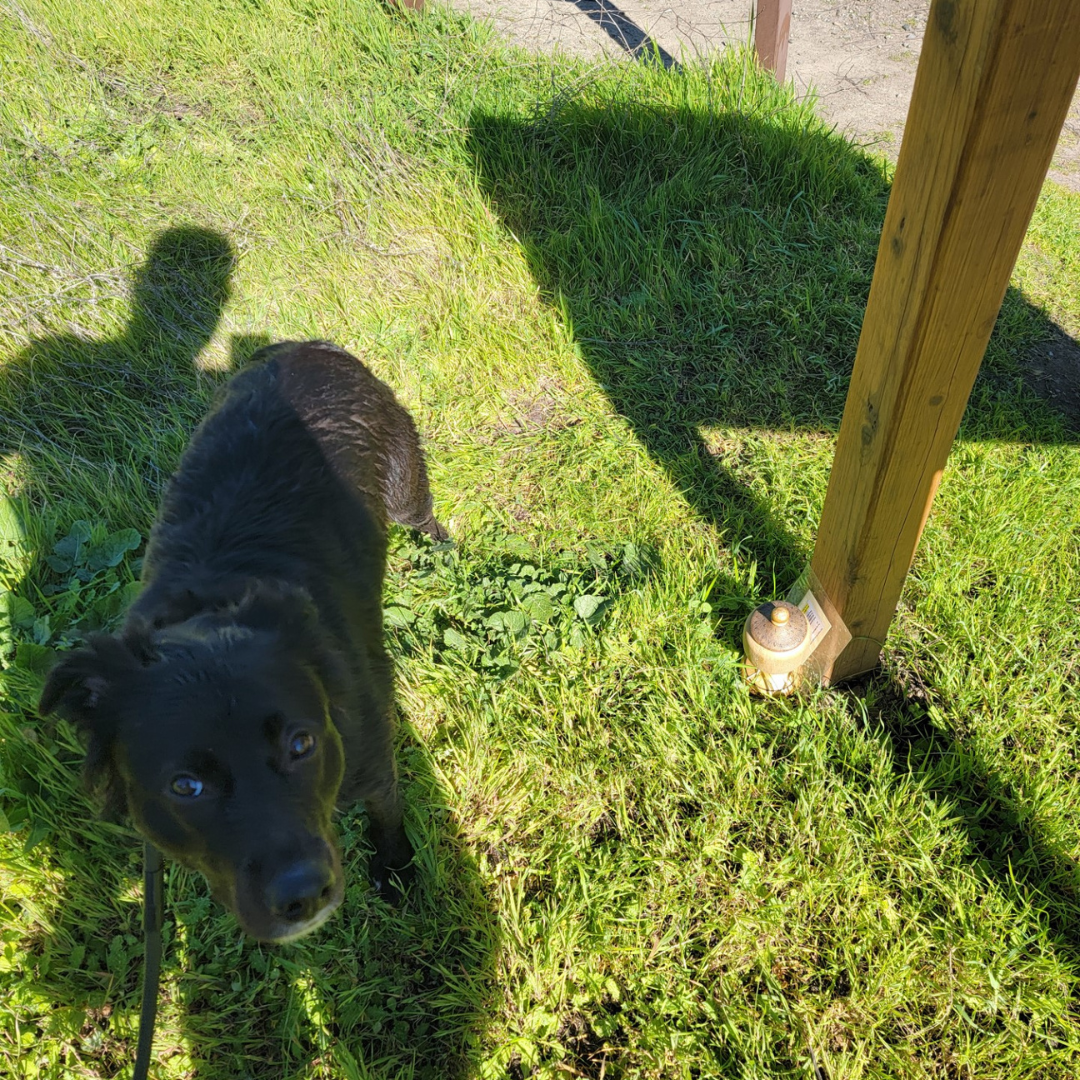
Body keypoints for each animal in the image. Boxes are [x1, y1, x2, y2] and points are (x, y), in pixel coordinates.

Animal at [38, 341, 442, 941]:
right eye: (185, 787)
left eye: (301, 744)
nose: (303, 895)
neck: (209, 608)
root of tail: (306, 346)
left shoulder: (374, 755)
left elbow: (387, 815)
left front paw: (395, 873)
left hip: (405, 493)